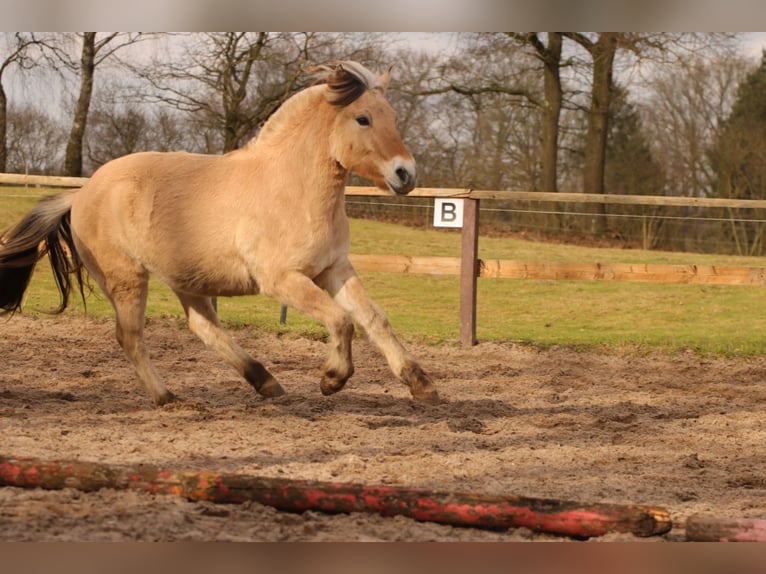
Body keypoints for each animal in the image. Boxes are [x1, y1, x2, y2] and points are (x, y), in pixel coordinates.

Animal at [0, 61, 439, 407]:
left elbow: (374, 319)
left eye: (393, 117)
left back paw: (266, 382)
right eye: (363, 118)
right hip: (126, 278)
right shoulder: (282, 280)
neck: (294, 189)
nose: (406, 173)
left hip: (186, 279)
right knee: (131, 337)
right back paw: (168, 397)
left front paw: (421, 384)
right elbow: (342, 320)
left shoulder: (334, 269)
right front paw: (332, 379)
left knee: (203, 327)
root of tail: (82, 193)